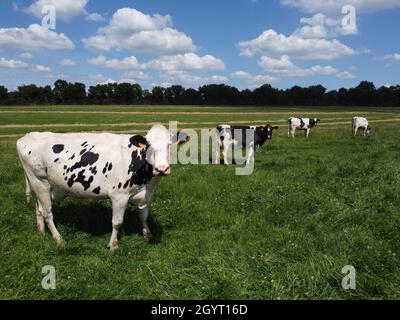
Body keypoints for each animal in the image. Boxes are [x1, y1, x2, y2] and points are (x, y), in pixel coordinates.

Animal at [15, 124, 184, 251]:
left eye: (169, 145)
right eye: (148, 146)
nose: (161, 169)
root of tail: (28, 136)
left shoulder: (146, 194)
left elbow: (143, 216)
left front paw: (146, 234)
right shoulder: (119, 195)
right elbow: (117, 222)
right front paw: (113, 245)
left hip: (52, 187)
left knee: (39, 208)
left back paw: (41, 232)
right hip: (39, 181)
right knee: (47, 213)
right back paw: (59, 239)